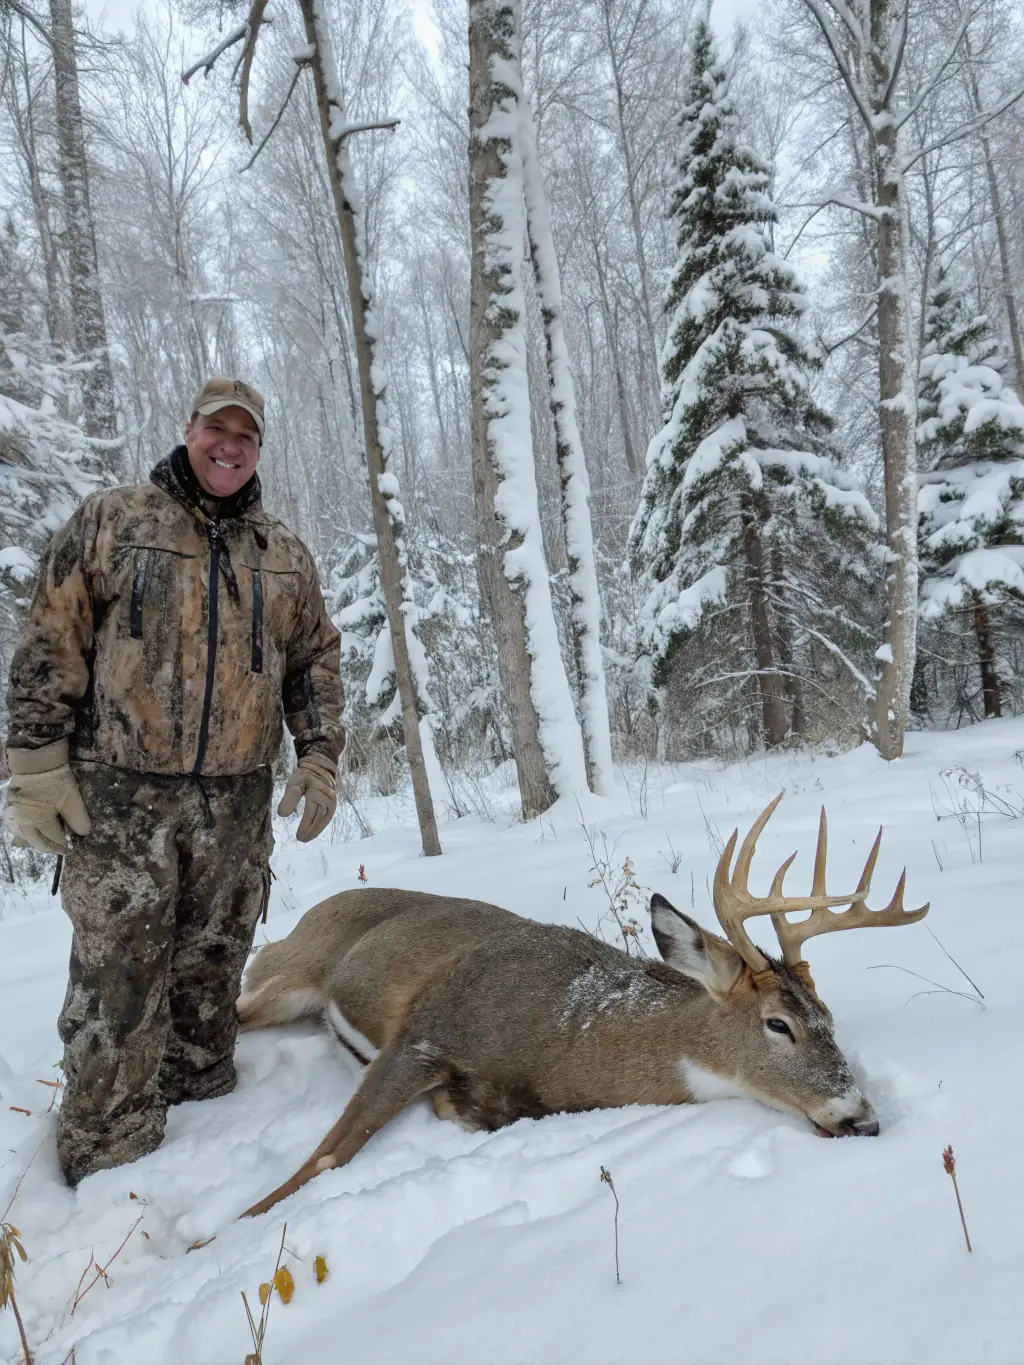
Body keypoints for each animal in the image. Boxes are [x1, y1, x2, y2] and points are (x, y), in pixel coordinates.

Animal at [236, 795, 928, 1218]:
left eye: (830, 1020)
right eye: (778, 1024)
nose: (862, 1118)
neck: (567, 1034)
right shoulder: (425, 1033)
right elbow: (324, 1159)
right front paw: (222, 1236)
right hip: (287, 972)